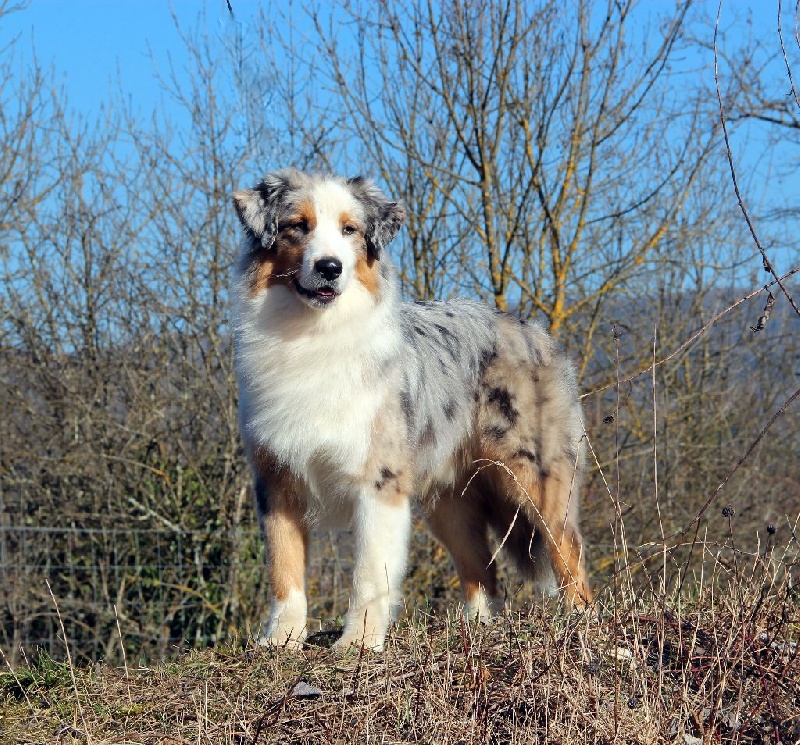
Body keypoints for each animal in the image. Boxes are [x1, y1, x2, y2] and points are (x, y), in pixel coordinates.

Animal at [231, 169, 592, 652]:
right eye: (297, 226)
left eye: (350, 230)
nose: (329, 267)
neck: (313, 334)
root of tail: (534, 331)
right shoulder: (276, 479)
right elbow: (283, 569)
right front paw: (281, 641)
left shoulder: (379, 479)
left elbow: (368, 573)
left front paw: (358, 643)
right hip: (449, 499)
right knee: (481, 568)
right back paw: (475, 628)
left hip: (536, 476)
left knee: (568, 552)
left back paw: (580, 621)